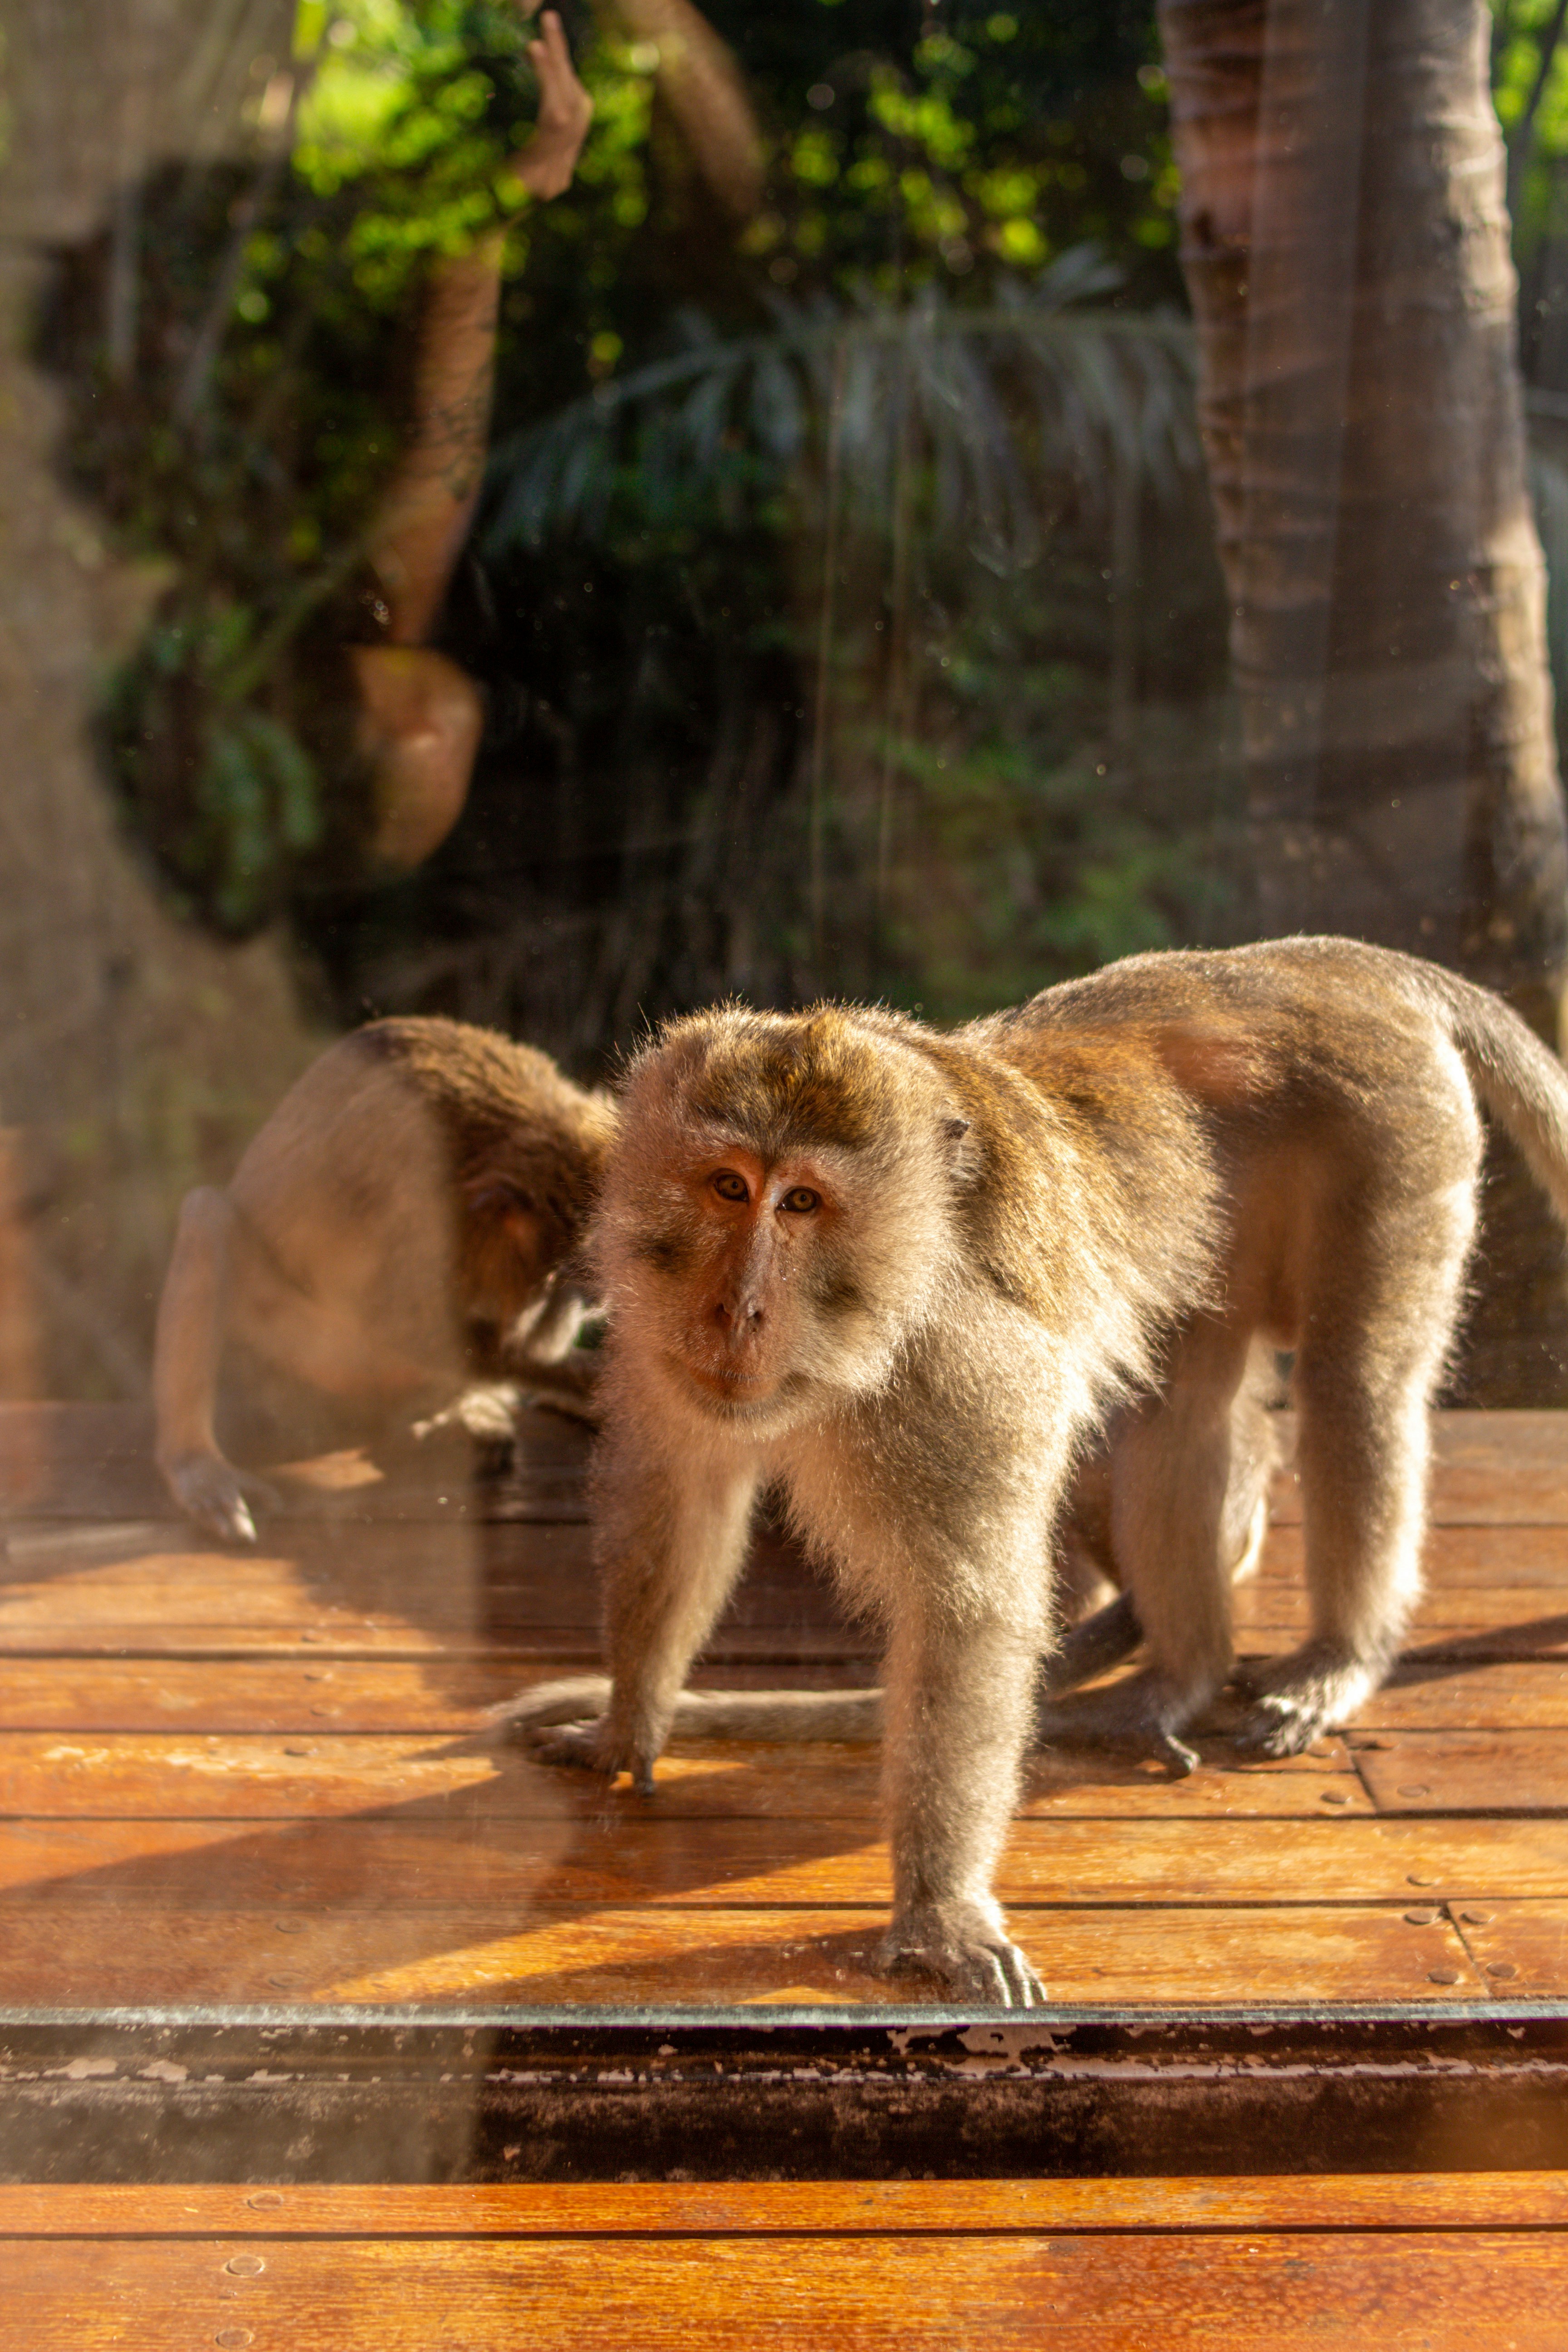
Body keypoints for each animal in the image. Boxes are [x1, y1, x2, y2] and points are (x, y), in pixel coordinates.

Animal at [154, 1016, 614, 1544]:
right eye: (586, 1260)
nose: (597, 1295)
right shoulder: (417, 1205)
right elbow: (409, 1331)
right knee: (208, 1219)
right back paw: (195, 1463)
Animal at [515, 938, 1568, 2006]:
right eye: (728, 1187)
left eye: (803, 1202)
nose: (738, 1309)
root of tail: (1329, 963)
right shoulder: (659, 1341)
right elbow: (676, 1500)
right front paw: (627, 1722)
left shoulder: (958, 1375)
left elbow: (967, 1615)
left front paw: (938, 1914)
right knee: (1183, 1408)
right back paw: (1183, 1675)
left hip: (1395, 1131)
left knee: (1353, 1386)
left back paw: (1339, 1658)